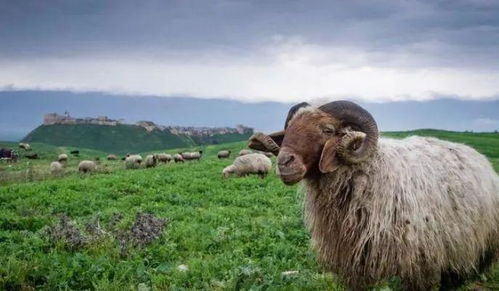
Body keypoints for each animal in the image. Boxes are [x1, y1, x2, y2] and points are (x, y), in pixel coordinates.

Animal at [249, 100, 499, 290]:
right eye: (289, 129)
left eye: (327, 130)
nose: (284, 163)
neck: (370, 172)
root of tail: (480, 158)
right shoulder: (353, 261)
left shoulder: (419, 263)